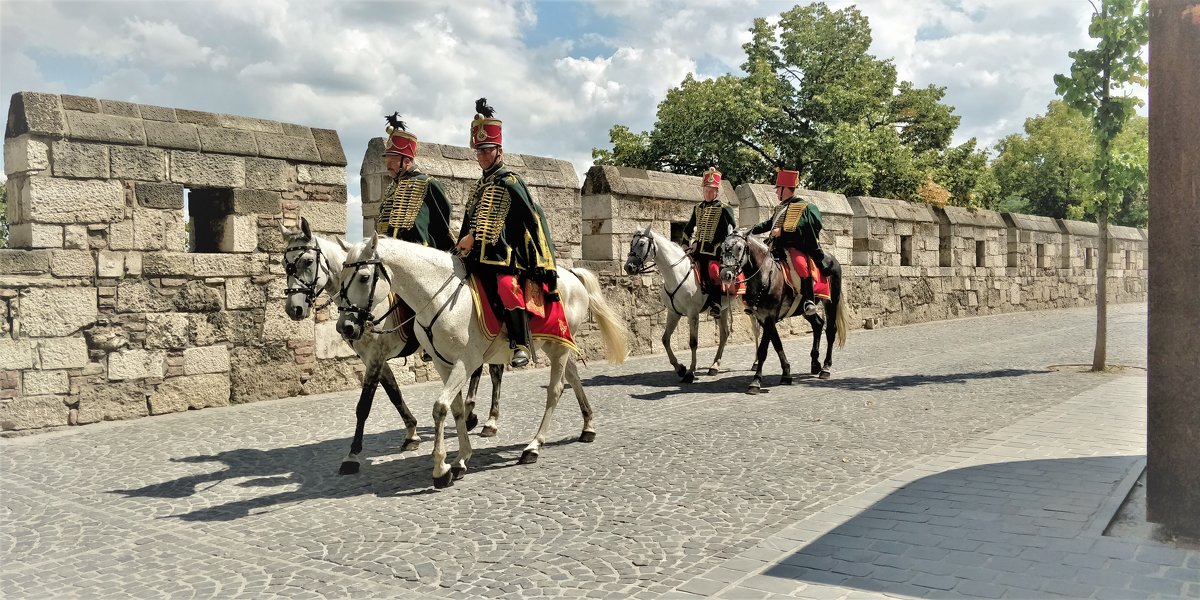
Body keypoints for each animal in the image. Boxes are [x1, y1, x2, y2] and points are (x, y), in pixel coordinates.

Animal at [278, 218, 504, 475]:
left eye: (307, 261)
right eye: (284, 263)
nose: (294, 309)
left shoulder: (376, 356)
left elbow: (364, 405)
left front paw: (352, 455)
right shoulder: (374, 359)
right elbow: (394, 393)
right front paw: (412, 433)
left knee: (495, 373)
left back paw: (489, 421)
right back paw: (470, 413)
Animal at [336, 232, 628, 487]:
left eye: (363, 277)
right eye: (341, 276)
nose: (345, 327)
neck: (440, 297)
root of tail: (572, 275)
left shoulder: (465, 362)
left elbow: (440, 407)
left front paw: (441, 469)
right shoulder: (444, 364)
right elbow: (455, 408)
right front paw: (460, 459)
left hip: (559, 346)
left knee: (555, 390)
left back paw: (533, 446)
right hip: (554, 343)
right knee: (573, 377)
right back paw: (588, 427)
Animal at [624, 223, 753, 381]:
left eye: (642, 244)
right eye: (631, 243)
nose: (628, 267)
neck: (676, 274)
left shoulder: (693, 314)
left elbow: (693, 343)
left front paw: (690, 372)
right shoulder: (673, 313)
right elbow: (665, 339)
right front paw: (679, 368)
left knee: (756, 330)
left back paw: (755, 364)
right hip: (723, 309)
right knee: (724, 334)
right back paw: (714, 366)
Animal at [720, 228, 844, 393]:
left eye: (739, 248)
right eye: (722, 247)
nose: (725, 275)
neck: (765, 274)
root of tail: (832, 259)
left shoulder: (770, 316)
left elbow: (763, 350)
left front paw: (756, 381)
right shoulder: (763, 318)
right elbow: (777, 343)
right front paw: (786, 373)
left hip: (831, 302)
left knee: (830, 331)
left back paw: (825, 367)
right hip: (804, 309)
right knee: (818, 324)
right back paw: (815, 363)